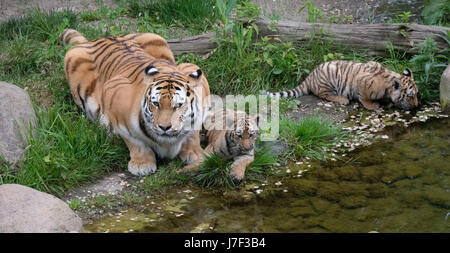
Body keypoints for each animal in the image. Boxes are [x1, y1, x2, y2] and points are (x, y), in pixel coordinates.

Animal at [60, 29, 212, 176]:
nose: (164, 127)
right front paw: (142, 165)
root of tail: (102, 37)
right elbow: (135, 142)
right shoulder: (114, 92)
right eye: (156, 104)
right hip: (73, 58)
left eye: (179, 105)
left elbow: (192, 134)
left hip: (155, 37)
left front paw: (195, 153)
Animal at [260, 60, 418, 110]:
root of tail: (310, 76)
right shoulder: (361, 82)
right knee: (324, 95)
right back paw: (343, 99)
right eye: (410, 96)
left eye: (416, 94)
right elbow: (364, 98)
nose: (417, 106)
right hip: (329, 79)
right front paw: (372, 106)